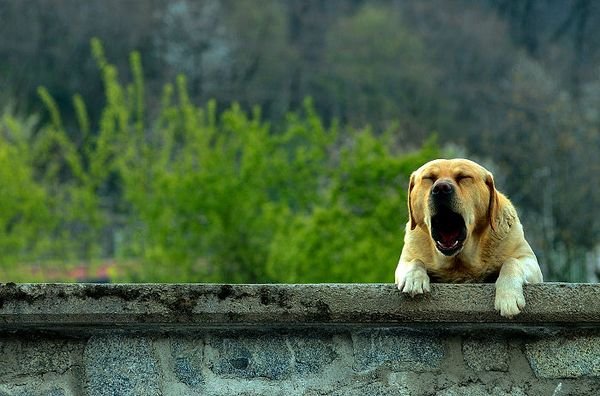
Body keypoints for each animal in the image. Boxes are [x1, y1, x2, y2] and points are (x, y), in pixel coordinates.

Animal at [396, 159, 540, 318]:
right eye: (429, 178)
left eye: (463, 177)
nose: (441, 188)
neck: (460, 262)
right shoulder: (405, 260)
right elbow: (415, 261)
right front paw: (413, 278)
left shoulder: (529, 261)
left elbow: (511, 261)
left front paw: (508, 297)